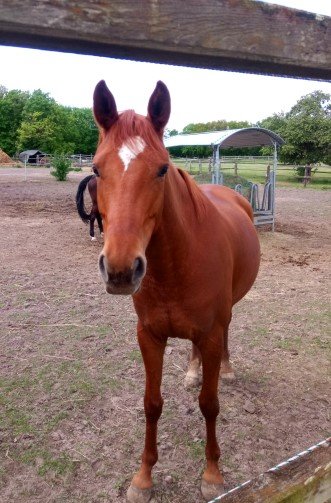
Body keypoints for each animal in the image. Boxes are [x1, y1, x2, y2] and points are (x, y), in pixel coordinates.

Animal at [92, 80, 260, 502]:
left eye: (162, 168)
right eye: (96, 168)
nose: (121, 269)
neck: (175, 266)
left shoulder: (211, 333)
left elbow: (210, 404)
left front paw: (212, 473)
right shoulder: (149, 336)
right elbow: (151, 404)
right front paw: (143, 477)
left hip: (225, 317)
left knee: (227, 334)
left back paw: (226, 370)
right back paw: (191, 372)